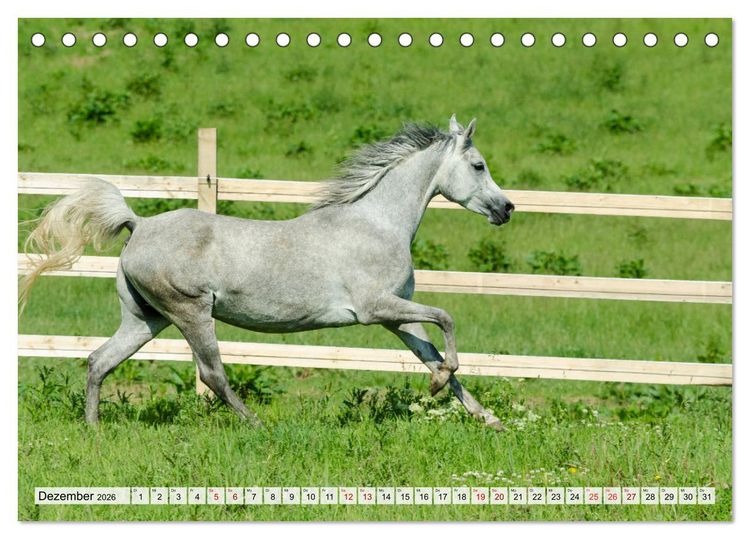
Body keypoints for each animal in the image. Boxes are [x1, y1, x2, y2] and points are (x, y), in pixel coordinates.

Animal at [20, 115, 515, 429]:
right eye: (479, 165)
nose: (506, 209)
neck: (376, 222)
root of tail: (138, 224)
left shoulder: (397, 315)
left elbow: (431, 353)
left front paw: (487, 417)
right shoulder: (377, 308)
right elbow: (447, 320)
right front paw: (442, 384)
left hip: (146, 319)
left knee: (99, 361)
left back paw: (94, 430)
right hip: (191, 313)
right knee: (212, 374)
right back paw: (256, 425)